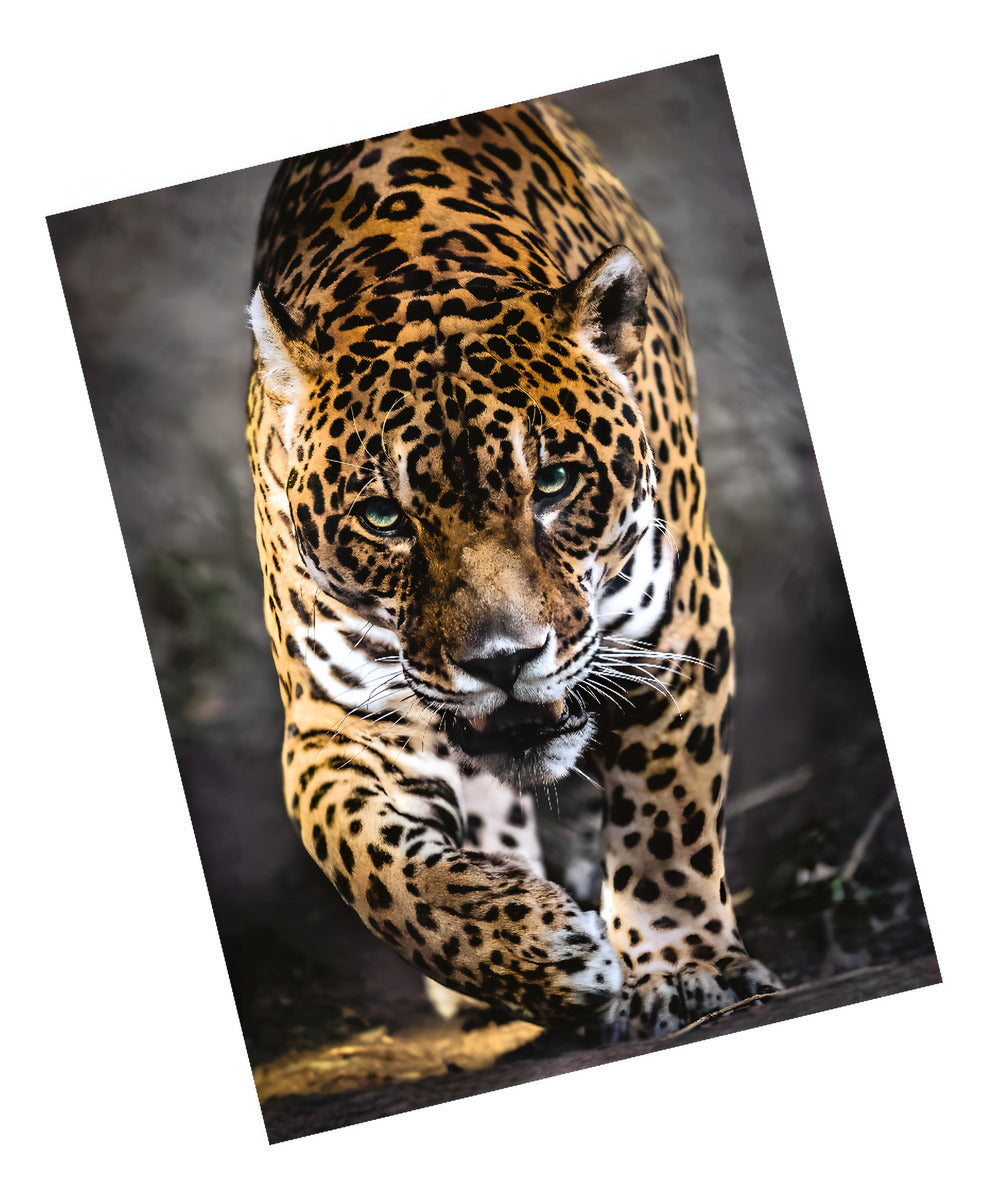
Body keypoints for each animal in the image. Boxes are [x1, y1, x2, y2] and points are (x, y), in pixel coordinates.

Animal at [246, 98, 781, 1040]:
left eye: (556, 483)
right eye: (384, 517)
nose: (503, 662)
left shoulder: (677, 626)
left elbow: (668, 818)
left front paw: (686, 967)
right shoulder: (334, 724)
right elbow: (379, 871)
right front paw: (535, 954)